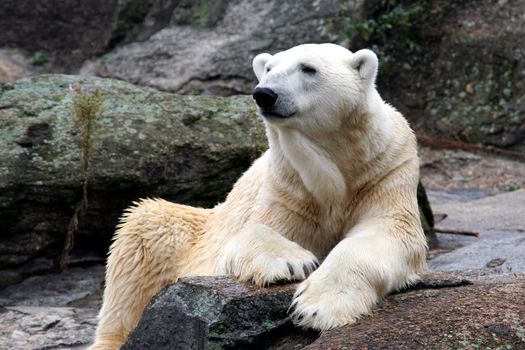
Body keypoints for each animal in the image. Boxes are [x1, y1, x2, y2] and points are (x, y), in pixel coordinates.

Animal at [89, 43, 426, 350]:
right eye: (268, 68)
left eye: (308, 68)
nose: (265, 93)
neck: (337, 164)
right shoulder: (289, 182)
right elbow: (254, 231)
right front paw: (293, 262)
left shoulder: (385, 170)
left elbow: (391, 232)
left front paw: (314, 307)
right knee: (140, 239)